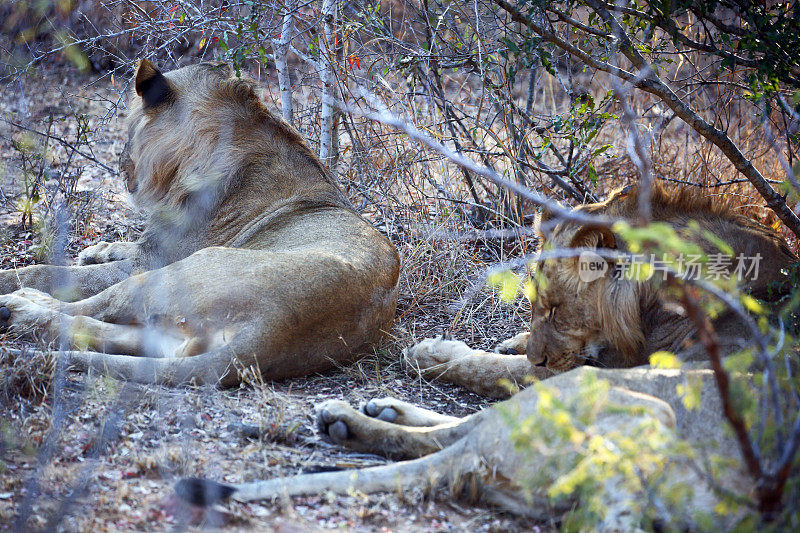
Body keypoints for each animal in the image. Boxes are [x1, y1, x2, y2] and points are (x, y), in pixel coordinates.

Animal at [0, 61, 400, 386]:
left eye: (129, 130)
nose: (122, 166)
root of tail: (273, 332)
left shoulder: (149, 261)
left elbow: (53, 272)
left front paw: (19, 278)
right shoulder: (150, 247)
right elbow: (118, 248)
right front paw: (97, 249)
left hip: (180, 271)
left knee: (87, 307)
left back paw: (19, 306)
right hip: (176, 333)